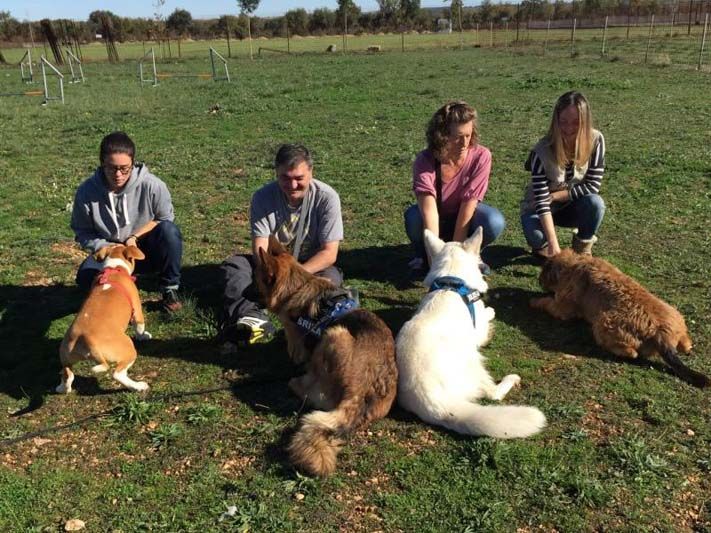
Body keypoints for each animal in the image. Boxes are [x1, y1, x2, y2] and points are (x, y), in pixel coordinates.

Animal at [256, 235, 400, 476]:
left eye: (254, 281)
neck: (297, 286)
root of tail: (358, 394)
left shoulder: (297, 340)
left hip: (334, 334)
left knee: (312, 395)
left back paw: (298, 383)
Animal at [394, 228, 544, 436]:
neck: (451, 283)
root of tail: (434, 404)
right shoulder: (478, 331)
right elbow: (486, 317)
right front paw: (490, 312)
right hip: (475, 361)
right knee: (493, 394)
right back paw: (511, 379)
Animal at [532, 249, 708, 386]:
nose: (539, 280)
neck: (573, 264)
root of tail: (661, 333)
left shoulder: (563, 307)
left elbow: (549, 303)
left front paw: (535, 301)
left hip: (602, 323)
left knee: (631, 352)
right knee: (686, 343)